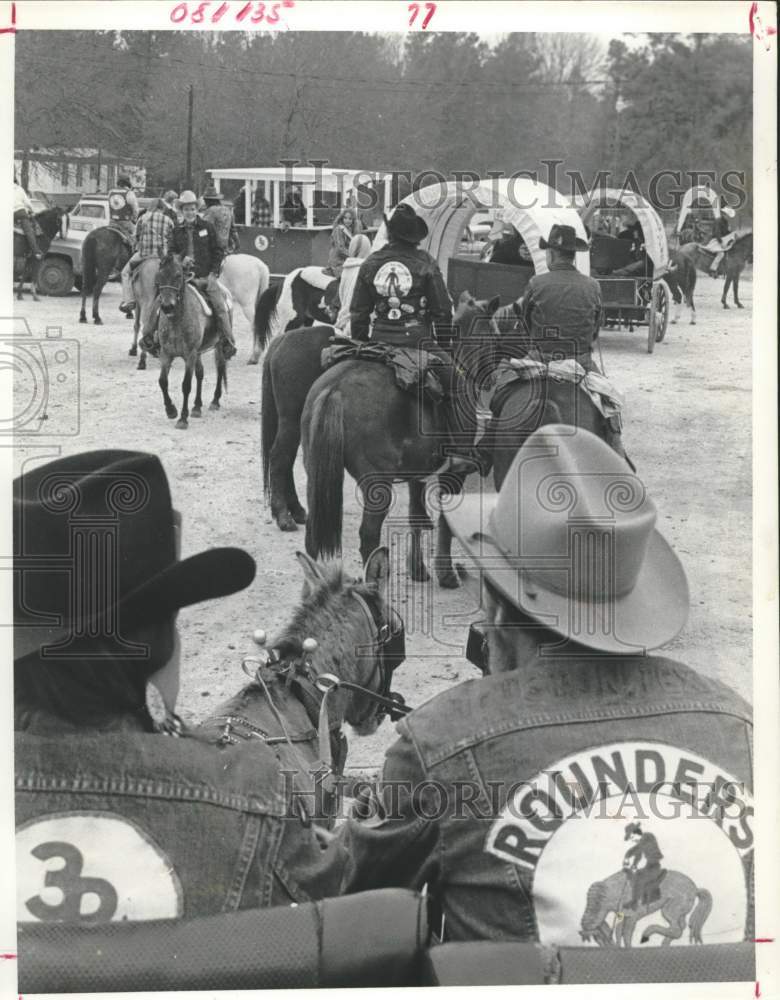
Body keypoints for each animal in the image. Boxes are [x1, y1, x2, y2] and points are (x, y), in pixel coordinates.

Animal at [155, 252, 232, 428]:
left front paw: (182, 418)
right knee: (200, 373)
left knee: (220, 368)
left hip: (219, 345)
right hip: (198, 352)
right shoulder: (166, 354)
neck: (176, 321)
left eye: (178, 275)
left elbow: (186, 385)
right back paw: (197, 407)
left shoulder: (189, 354)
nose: (167, 306)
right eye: (159, 276)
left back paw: (215, 401)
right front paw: (171, 410)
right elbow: (162, 381)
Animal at [298, 292, 500, 584]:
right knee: (368, 536)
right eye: (495, 334)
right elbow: (445, 522)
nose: (494, 378)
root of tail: (335, 389)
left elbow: (416, 516)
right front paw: (446, 572)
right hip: (377, 485)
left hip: (315, 473)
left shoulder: (418, 473)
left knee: (312, 538)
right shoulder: (453, 474)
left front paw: (419, 569)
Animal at [580, 868, 712, 944]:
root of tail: (695, 889)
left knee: (676, 929)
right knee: (680, 927)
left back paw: (647, 934)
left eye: (599, 902)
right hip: (679, 911)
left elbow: (626, 933)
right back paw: (664, 944)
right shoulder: (625, 916)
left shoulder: (633, 916)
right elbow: (619, 931)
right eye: (597, 939)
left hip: (670, 910)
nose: (585, 925)